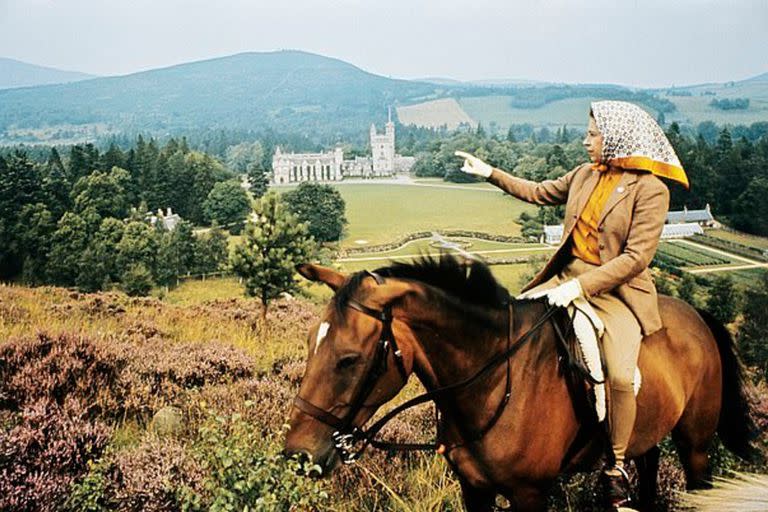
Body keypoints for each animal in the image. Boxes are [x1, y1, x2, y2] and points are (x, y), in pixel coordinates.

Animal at [284, 254, 760, 510]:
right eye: (308, 343)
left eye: (348, 359)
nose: (297, 456)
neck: (494, 384)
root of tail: (695, 316)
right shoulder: (474, 490)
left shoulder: (529, 494)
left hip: (695, 446)